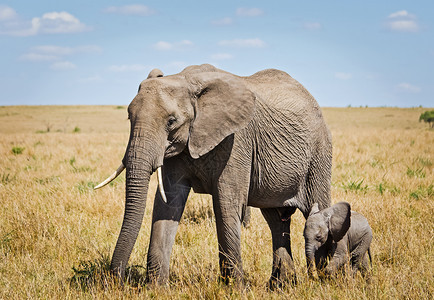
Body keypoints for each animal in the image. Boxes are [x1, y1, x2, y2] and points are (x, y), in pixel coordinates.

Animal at [96, 64, 332, 288]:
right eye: (129, 117)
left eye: (171, 121)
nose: (117, 280)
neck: (185, 80)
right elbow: (167, 204)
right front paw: (156, 289)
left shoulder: (235, 142)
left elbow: (225, 205)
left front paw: (234, 290)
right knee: (276, 220)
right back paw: (280, 286)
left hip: (318, 154)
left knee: (316, 207)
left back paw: (326, 281)